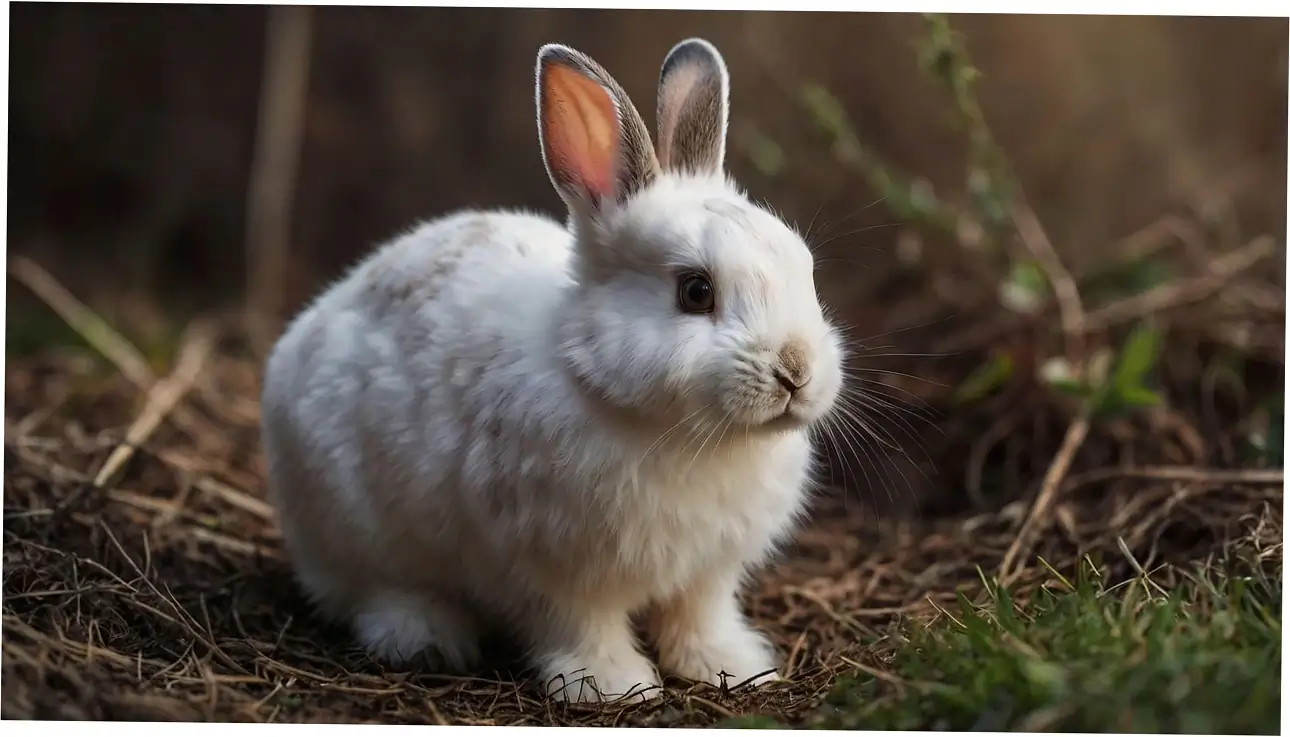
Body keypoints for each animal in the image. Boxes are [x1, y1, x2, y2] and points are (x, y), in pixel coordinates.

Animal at [259, 36, 845, 704]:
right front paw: (615, 687)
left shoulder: (708, 574)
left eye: (804, 268)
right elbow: (583, 627)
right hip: (356, 530)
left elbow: (699, 617)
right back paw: (425, 635)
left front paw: (735, 667)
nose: (796, 370)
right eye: (696, 291)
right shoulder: (555, 570)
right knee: (373, 591)